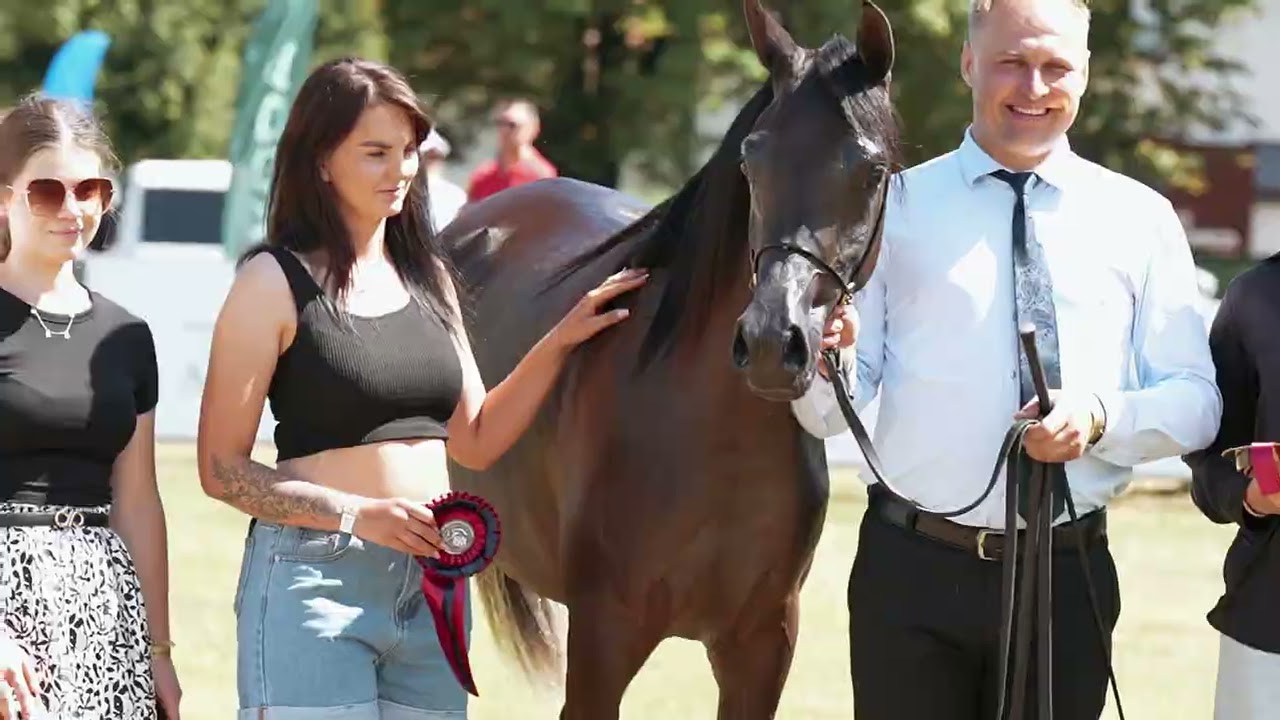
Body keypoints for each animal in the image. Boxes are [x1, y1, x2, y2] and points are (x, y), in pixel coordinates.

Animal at [439, 1, 901, 716]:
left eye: (872, 170)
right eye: (752, 159)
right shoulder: (602, 642)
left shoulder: (760, 647)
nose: (770, 342)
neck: (709, 437)